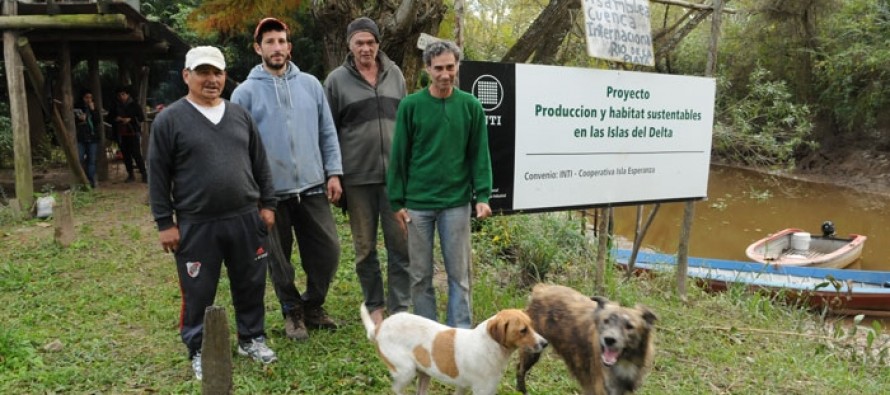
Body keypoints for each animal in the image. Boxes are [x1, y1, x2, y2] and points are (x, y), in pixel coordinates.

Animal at [358, 304, 544, 394]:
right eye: (523, 330)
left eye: (531, 325)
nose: (545, 343)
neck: (489, 346)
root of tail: (378, 328)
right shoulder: (483, 390)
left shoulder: (464, 387)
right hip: (406, 371)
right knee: (396, 389)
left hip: (424, 374)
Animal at [512, 286, 652, 395]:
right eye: (606, 321)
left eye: (629, 326)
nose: (609, 340)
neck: (625, 361)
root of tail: (540, 289)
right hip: (532, 351)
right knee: (520, 370)